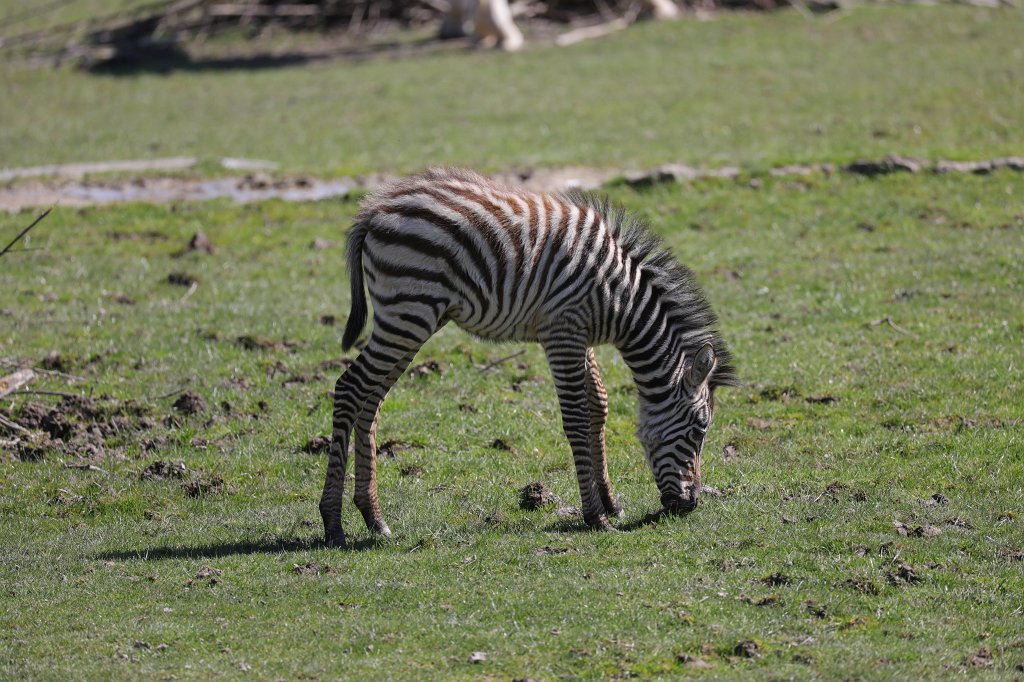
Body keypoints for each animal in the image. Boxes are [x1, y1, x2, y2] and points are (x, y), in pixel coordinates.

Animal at [321, 167, 736, 547]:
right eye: (700, 428)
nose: (690, 505)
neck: (619, 299)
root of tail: (375, 209)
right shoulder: (562, 333)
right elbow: (577, 419)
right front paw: (595, 516)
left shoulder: (578, 334)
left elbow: (598, 405)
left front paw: (611, 502)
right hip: (409, 312)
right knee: (350, 388)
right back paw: (333, 524)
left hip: (409, 320)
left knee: (370, 400)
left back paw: (374, 519)